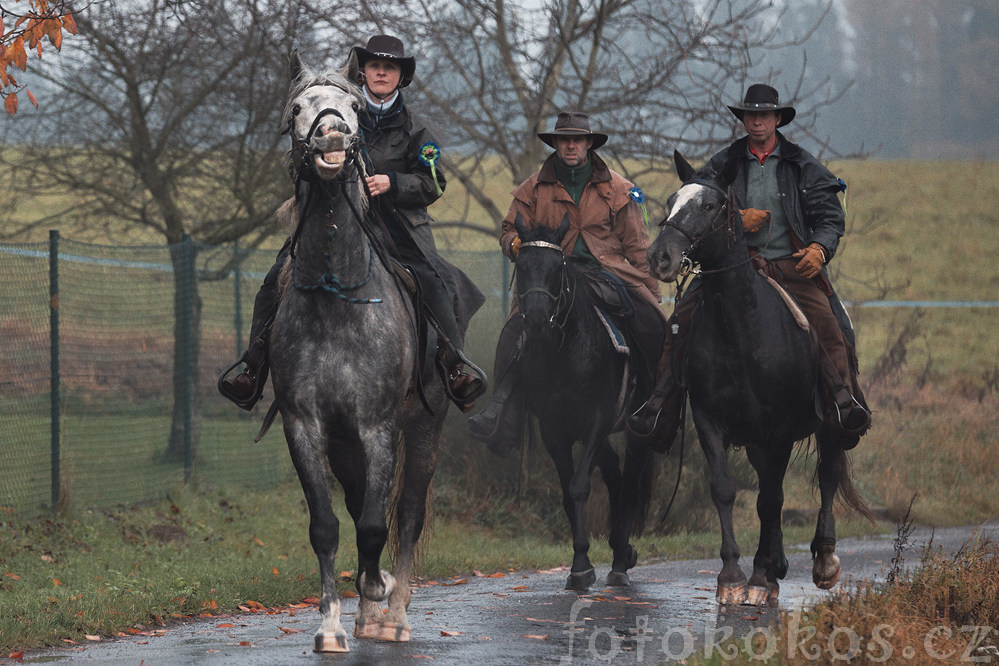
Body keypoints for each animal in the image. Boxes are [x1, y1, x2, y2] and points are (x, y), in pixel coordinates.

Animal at [270, 50, 450, 648]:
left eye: (353, 107)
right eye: (297, 107)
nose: (331, 137)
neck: (337, 297)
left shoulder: (378, 426)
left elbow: (377, 524)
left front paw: (378, 588)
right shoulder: (306, 426)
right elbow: (327, 526)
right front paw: (330, 625)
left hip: (422, 427)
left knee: (407, 515)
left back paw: (393, 613)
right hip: (345, 442)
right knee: (356, 506)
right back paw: (371, 614)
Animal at [512, 215, 652, 588]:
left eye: (557, 267)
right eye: (521, 266)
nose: (536, 320)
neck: (565, 352)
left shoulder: (596, 420)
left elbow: (578, 487)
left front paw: (582, 565)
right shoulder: (553, 429)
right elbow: (566, 491)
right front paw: (580, 562)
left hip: (633, 428)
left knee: (628, 479)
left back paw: (620, 563)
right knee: (615, 473)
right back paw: (620, 551)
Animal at [644, 152, 872, 608]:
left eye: (709, 206)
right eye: (673, 200)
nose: (660, 257)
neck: (742, 330)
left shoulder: (779, 429)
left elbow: (771, 499)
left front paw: (760, 578)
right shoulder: (711, 421)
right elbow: (726, 490)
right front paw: (733, 576)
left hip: (832, 422)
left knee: (826, 475)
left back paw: (822, 559)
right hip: (754, 440)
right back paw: (778, 562)